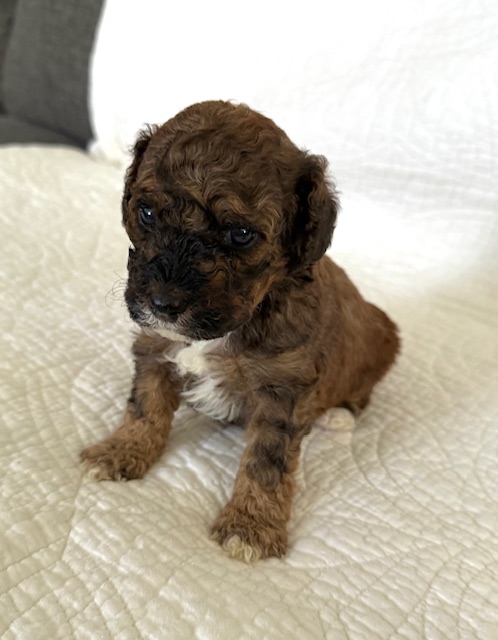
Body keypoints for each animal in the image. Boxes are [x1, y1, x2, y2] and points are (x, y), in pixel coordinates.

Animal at [81, 100, 400, 561]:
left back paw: (337, 416)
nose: (163, 303)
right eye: (147, 213)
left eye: (241, 234)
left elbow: (266, 461)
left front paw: (250, 526)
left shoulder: (282, 391)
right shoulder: (155, 346)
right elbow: (144, 406)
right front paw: (122, 450)